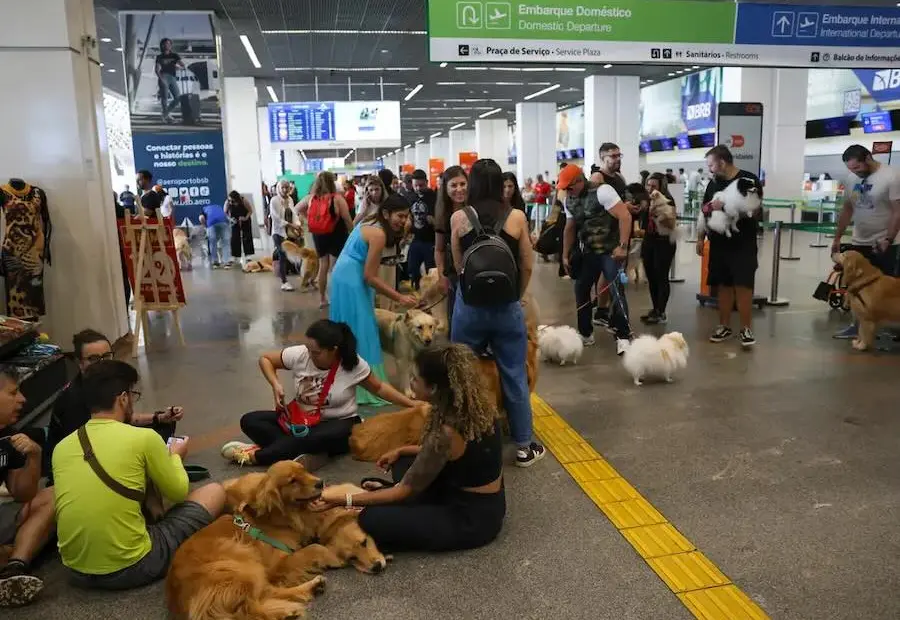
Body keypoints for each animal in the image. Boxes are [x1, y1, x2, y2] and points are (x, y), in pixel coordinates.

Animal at [167, 460, 384, 620]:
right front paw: (334, 556)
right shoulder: (277, 564)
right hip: (239, 562)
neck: (282, 518)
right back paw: (291, 606)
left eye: (304, 470)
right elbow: (315, 547)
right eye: (292, 481)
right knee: (254, 604)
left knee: (265, 594)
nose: (320, 482)